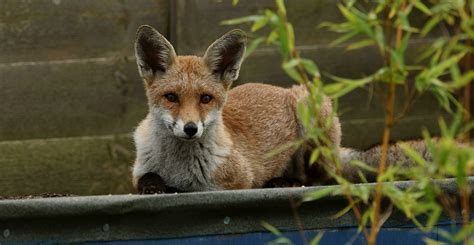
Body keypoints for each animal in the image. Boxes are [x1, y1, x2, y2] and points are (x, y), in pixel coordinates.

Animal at [131, 24, 432, 193]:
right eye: (171, 97)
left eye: (205, 98)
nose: (191, 128)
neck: (179, 165)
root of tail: (280, 87)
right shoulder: (139, 172)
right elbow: (147, 178)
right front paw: (155, 186)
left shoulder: (234, 181)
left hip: (310, 114)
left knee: (321, 180)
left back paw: (283, 183)